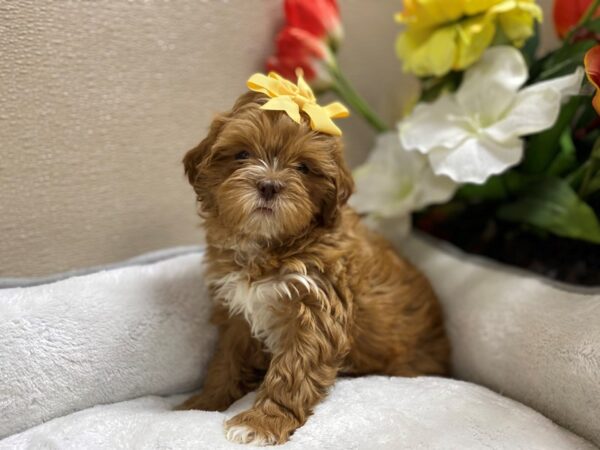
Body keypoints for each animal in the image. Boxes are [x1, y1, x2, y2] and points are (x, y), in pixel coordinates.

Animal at [178, 89, 450, 444]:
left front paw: (260, 423)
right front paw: (205, 403)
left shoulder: (316, 309)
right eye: (241, 154)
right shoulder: (238, 313)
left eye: (303, 167)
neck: (269, 246)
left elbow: (291, 373)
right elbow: (227, 358)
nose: (268, 185)